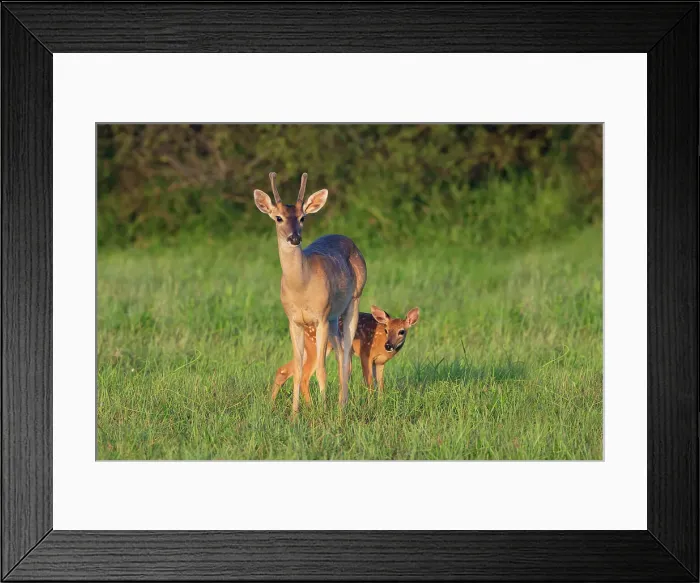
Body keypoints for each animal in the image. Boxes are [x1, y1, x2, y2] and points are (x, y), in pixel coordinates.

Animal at [254, 172, 367, 415]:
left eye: (303, 218)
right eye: (278, 218)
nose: (295, 238)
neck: (301, 288)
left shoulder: (320, 317)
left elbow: (322, 369)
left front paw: (323, 411)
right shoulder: (293, 320)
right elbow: (297, 368)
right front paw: (295, 414)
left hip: (353, 300)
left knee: (345, 354)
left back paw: (342, 406)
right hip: (333, 317)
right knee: (341, 352)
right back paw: (340, 403)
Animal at [272, 305, 420, 398]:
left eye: (402, 331)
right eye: (386, 330)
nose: (388, 345)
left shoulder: (380, 362)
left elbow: (380, 384)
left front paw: (380, 402)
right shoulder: (365, 353)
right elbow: (369, 382)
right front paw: (371, 403)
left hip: (307, 348)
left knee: (283, 370)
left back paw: (271, 404)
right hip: (316, 346)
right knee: (304, 377)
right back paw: (310, 407)